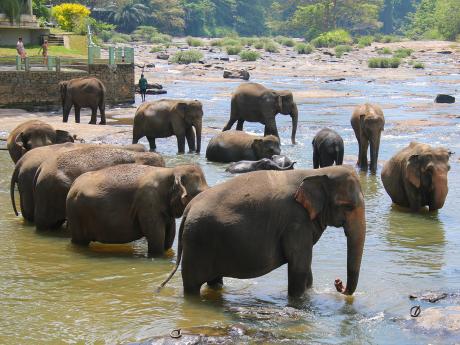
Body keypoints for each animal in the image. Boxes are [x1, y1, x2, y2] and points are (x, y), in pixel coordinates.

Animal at [67, 163, 209, 254]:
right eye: (198, 193)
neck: (171, 171)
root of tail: (73, 186)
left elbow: (168, 239)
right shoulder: (147, 203)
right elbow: (156, 239)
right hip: (76, 214)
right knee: (80, 242)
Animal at [159, 164, 366, 296]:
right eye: (348, 206)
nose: (338, 283)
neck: (318, 171)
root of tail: (189, 208)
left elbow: (305, 267)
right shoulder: (295, 221)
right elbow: (299, 266)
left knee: (214, 281)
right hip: (198, 242)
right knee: (192, 285)